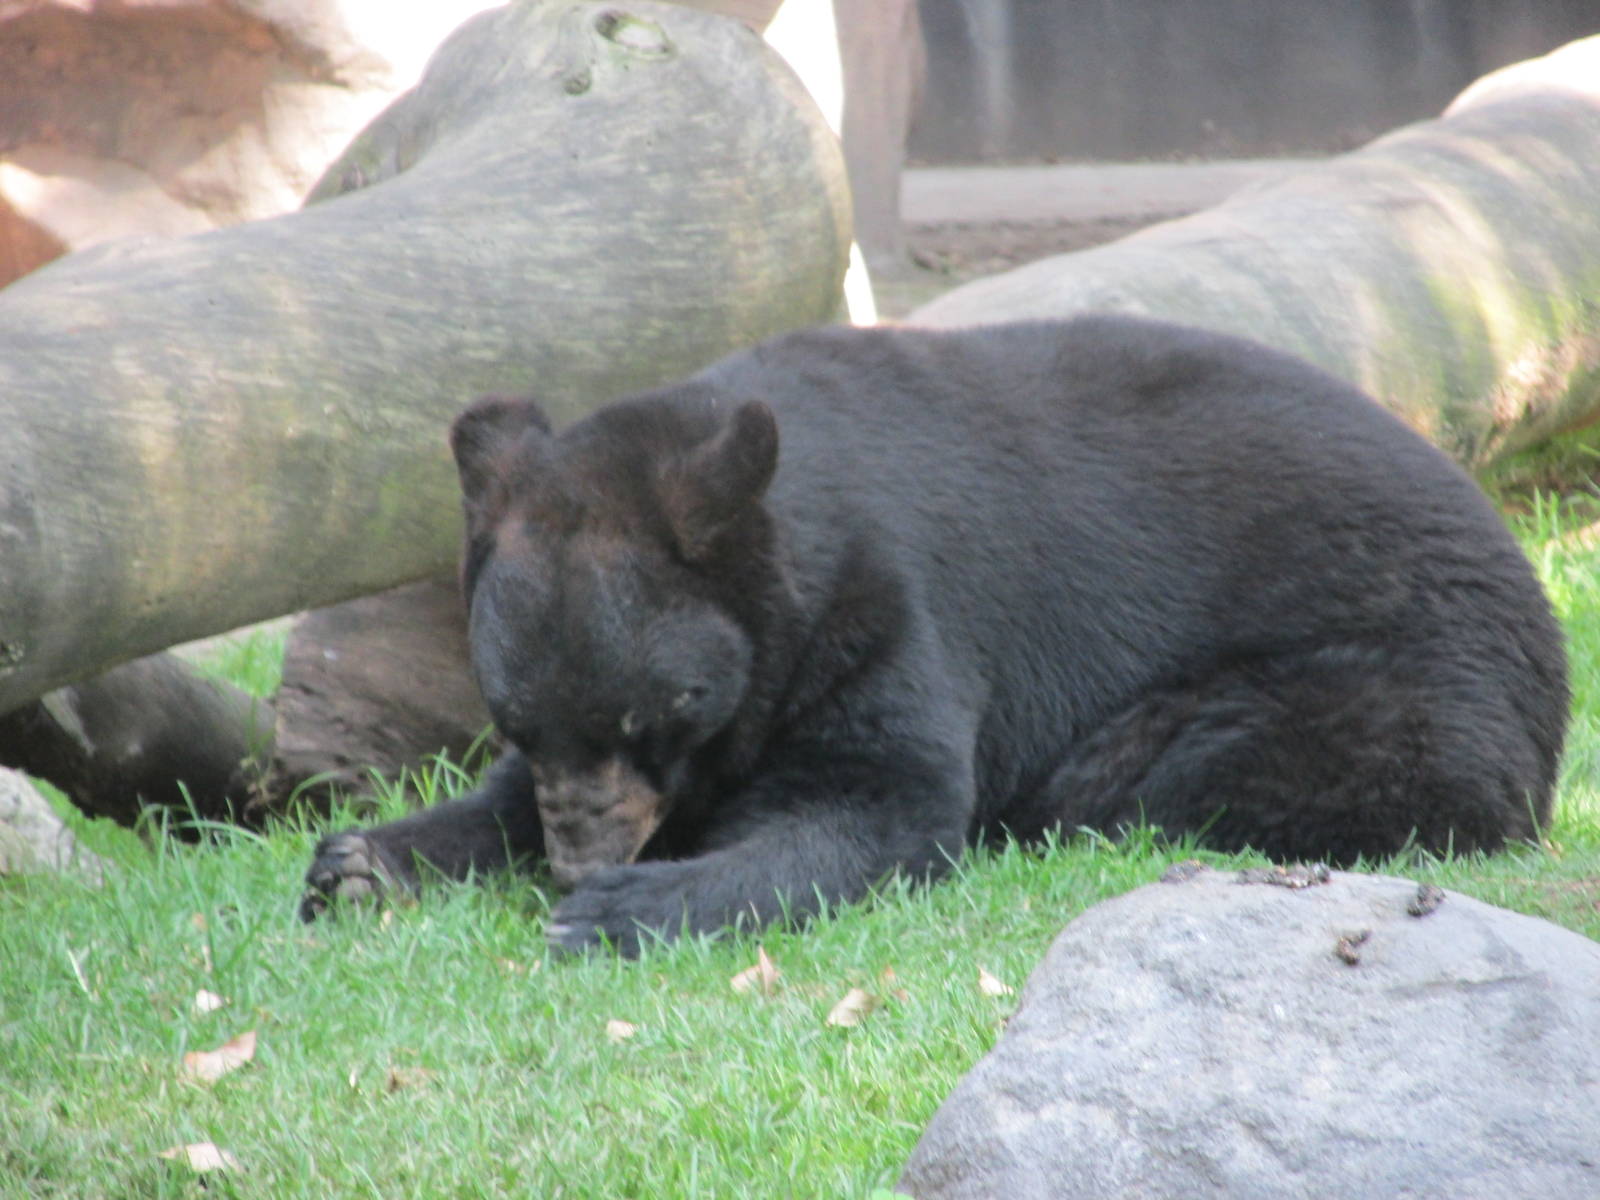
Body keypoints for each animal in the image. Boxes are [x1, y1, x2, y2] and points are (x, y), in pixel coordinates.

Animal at [299, 315, 1569, 955]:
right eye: (517, 716)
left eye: (652, 712)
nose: (581, 858)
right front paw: (361, 862)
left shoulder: (889, 604)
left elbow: (880, 801)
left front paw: (626, 908)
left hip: (1380, 685)